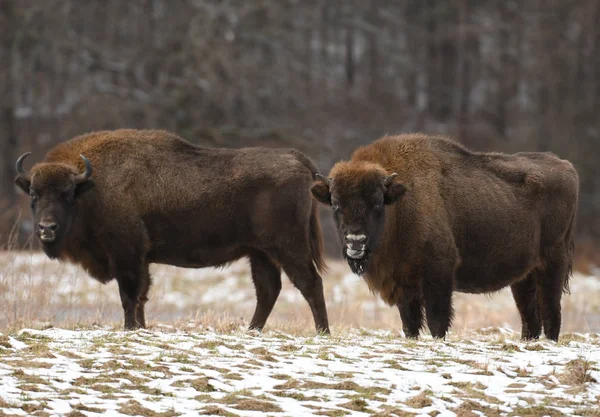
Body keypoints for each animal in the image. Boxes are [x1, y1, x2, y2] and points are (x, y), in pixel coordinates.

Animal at [14, 128, 330, 334]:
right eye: (34, 194)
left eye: (67, 194)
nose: (46, 228)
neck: (92, 187)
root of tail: (297, 160)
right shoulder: (140, 260)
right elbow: (140, 297)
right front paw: (140, 328)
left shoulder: (127, 255)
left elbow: (129, 297)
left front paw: (130, 329)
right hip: (260, 253)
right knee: (268, 290)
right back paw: (252, 331)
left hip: (288, 248)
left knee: (310, 283)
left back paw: (322, 332)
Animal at [312, 135, 580, 340]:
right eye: (336, 204)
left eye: (377, 203)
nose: (355, 241)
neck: (400, 203)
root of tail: (567, 167)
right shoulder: (404, 285)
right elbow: (410, 324)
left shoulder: (438, 274)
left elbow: (437, 321)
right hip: (524, 276)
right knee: (530, 316)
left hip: (552, 265)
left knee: (551, 313)